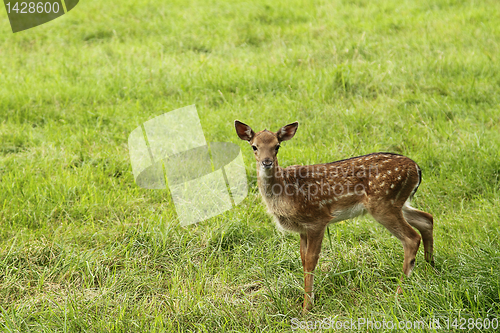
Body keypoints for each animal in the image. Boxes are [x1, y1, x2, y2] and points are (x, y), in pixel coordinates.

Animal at [234, 119, 434, 312]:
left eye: (277, 146)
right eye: (254, 146)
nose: (266, 162)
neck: (286, 193)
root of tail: (416, 168)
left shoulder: (317, 219)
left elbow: (311, 261)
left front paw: (307, 307)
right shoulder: (302, 228)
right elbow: (302, 259)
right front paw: (307, 301)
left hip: (383, 203)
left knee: (411, 237)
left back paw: (399, 291)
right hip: (398, 203)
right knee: (427, 219)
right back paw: (430, 268)